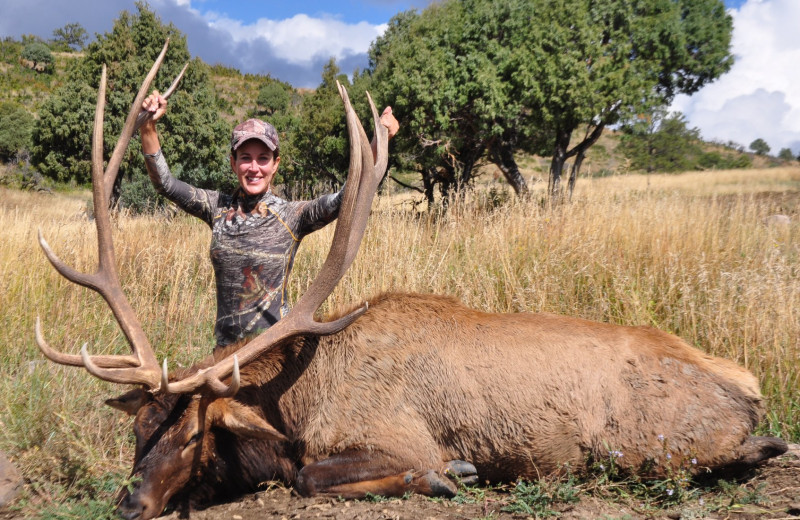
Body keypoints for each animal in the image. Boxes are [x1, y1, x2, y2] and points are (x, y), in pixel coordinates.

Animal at [36, 41, 788, 520]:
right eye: (138, 431)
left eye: (194, 436)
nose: (128, 504)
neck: (299, 404)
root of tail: (749, 387)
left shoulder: (394, 433)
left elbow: (312, 476)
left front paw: (448, 475)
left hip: (649, 445)